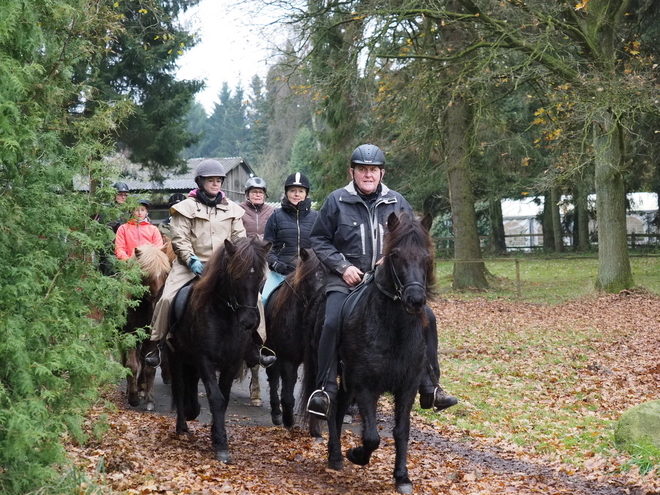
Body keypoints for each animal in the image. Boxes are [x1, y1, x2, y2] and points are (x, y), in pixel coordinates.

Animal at [122, 244, 171, 410]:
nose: (159, 300)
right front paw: (133, 398)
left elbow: (149, 368)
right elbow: (132, 365)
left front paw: (149, 399)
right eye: (147, 273)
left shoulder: (151, 337)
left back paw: (142, 387)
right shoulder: (129, 334)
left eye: (166, 272)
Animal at [168, 238, 270, 464]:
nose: (249, 322)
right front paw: (222, 445)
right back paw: (183, 425)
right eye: (235, 276)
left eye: (260, 277)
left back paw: (192, 410)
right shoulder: (205, 359)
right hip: (176, 356)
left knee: (190, 382)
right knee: (179, 387)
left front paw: (217, 436)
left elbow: (224, 399)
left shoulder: (232, 363)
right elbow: (216, 398)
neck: (224, 316)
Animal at [262, 248, 324, 434]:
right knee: (272, 377)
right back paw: (276, 413)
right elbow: (287, 396)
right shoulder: (288, 359)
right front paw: (288, 420)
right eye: (308, 279)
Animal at [304, 213, 438, 495]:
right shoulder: (366, 385)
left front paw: (402, 477)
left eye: (426, 256)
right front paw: (356, 455)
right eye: (395, 254)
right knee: (331, 406)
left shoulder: (407, 387)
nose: (416, 300)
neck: (393, 330)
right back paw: (336, 456)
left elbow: (401, 431)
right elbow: (372, 437)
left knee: (339, 409)